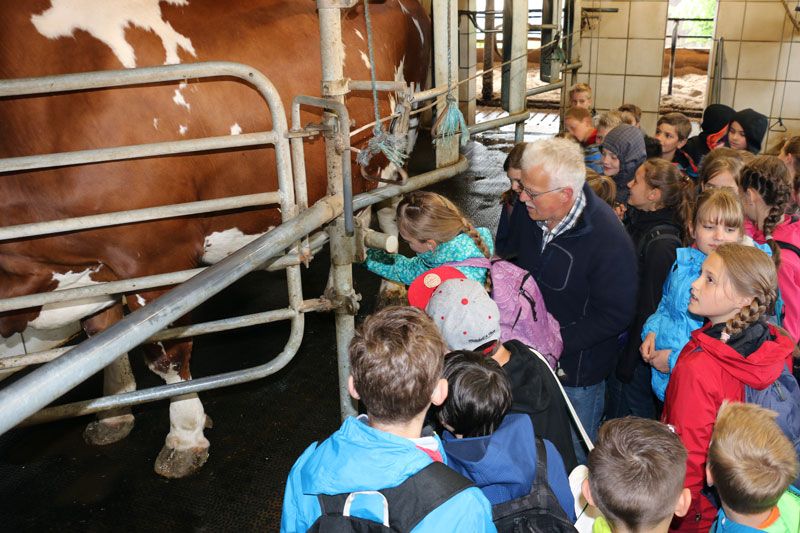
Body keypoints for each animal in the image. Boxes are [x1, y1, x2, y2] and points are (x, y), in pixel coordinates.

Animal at [0, 0, 432, 474]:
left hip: (403, 131)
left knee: (392, 202)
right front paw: (114, 411)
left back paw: (390, 284)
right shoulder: (96, 266)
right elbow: (103, 335)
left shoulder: (154, 256)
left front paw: (184, 435)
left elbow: (166, 353)